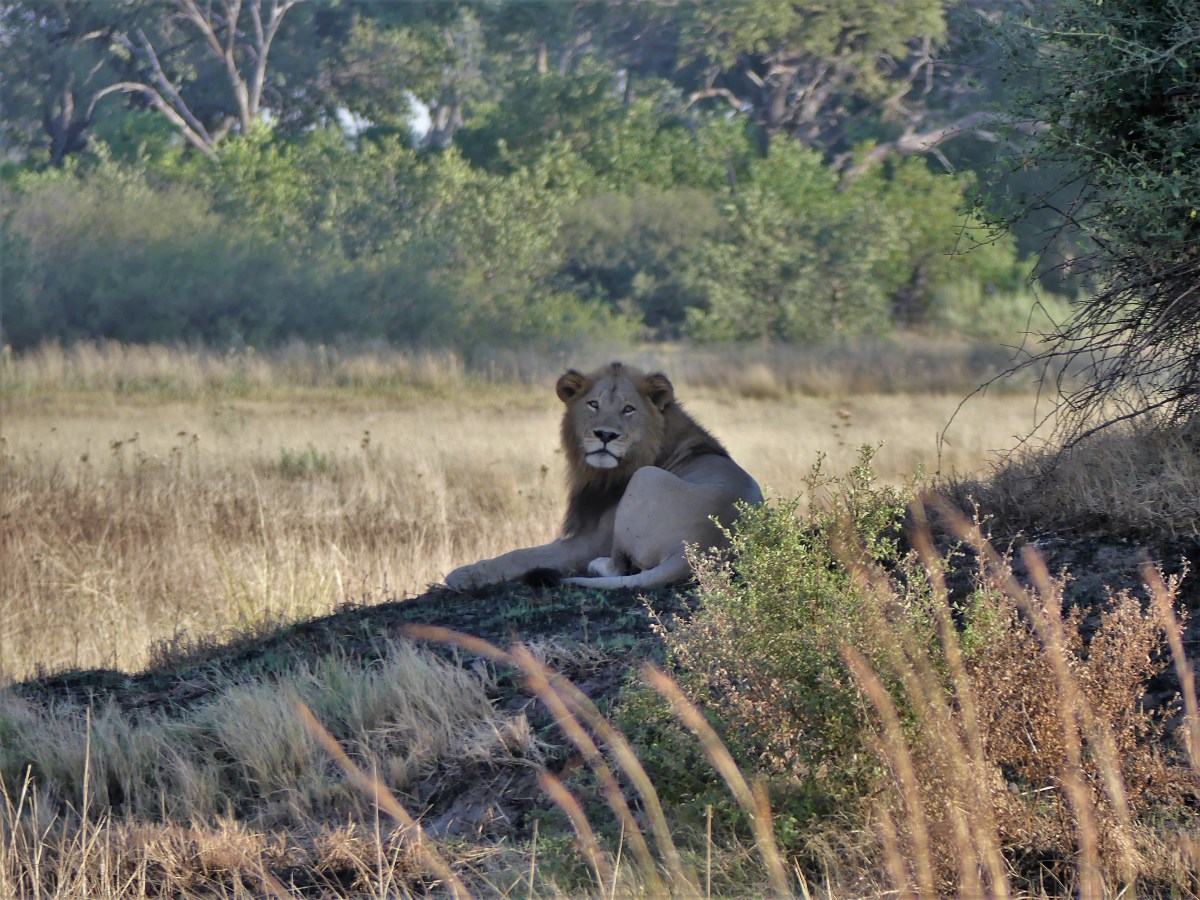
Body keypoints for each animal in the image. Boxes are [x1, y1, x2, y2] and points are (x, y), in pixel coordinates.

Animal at [444, 361, 763, 591]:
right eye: (593, 404)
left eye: (628, 409)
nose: (605, 435)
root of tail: (697, 551)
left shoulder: (590, 540)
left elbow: (522, 554)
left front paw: (463, 574)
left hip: (645, 481)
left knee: (618, 567)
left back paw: (596, 566)